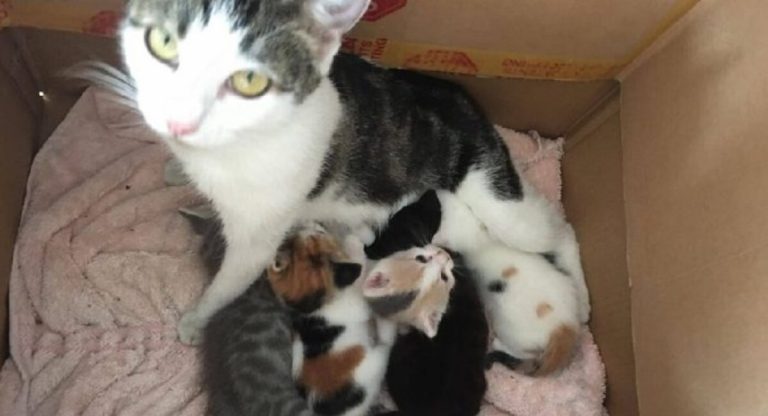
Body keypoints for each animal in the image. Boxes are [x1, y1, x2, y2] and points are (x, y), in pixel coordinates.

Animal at [121, 0, 588, 344]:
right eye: (163, 43)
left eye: (249, 81)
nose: (179, 116)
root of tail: (463, 99)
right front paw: (178, 170)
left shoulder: (257, 234)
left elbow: (229, 281)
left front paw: (197, 319)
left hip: (498, 199)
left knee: (560, 230)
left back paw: (582, 298)